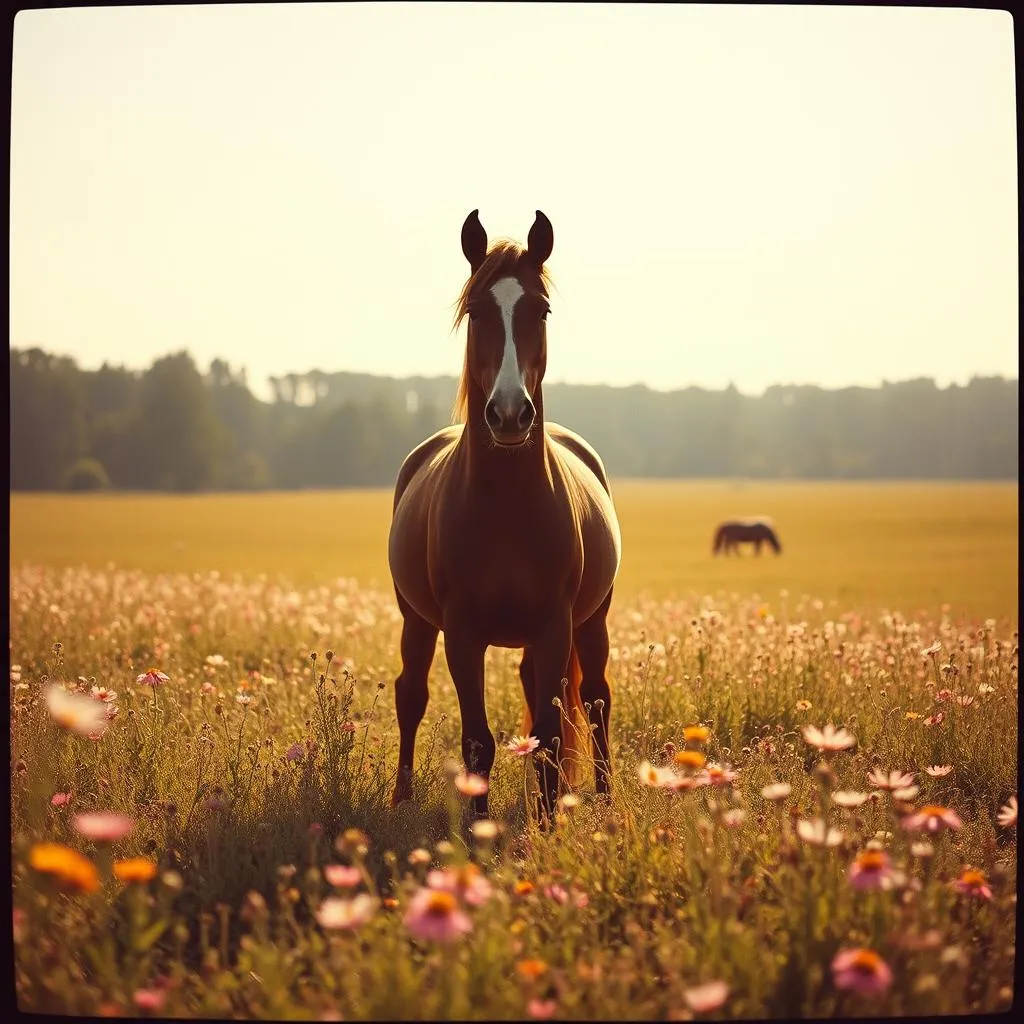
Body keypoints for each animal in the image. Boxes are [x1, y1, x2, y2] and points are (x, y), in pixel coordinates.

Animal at [387, 209, 622, 820]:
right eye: (475, 311)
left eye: (541, 309)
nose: (511, 413)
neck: (507, 510)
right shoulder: (461, 632)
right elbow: (478, 741)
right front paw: (479, 828)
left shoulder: (555, 624)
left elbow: (551, 736)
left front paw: (547, 825)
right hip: (416, 620)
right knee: (410, 694)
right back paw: (400, 796)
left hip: (591, 621)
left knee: (596, 699)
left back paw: (604, 797)